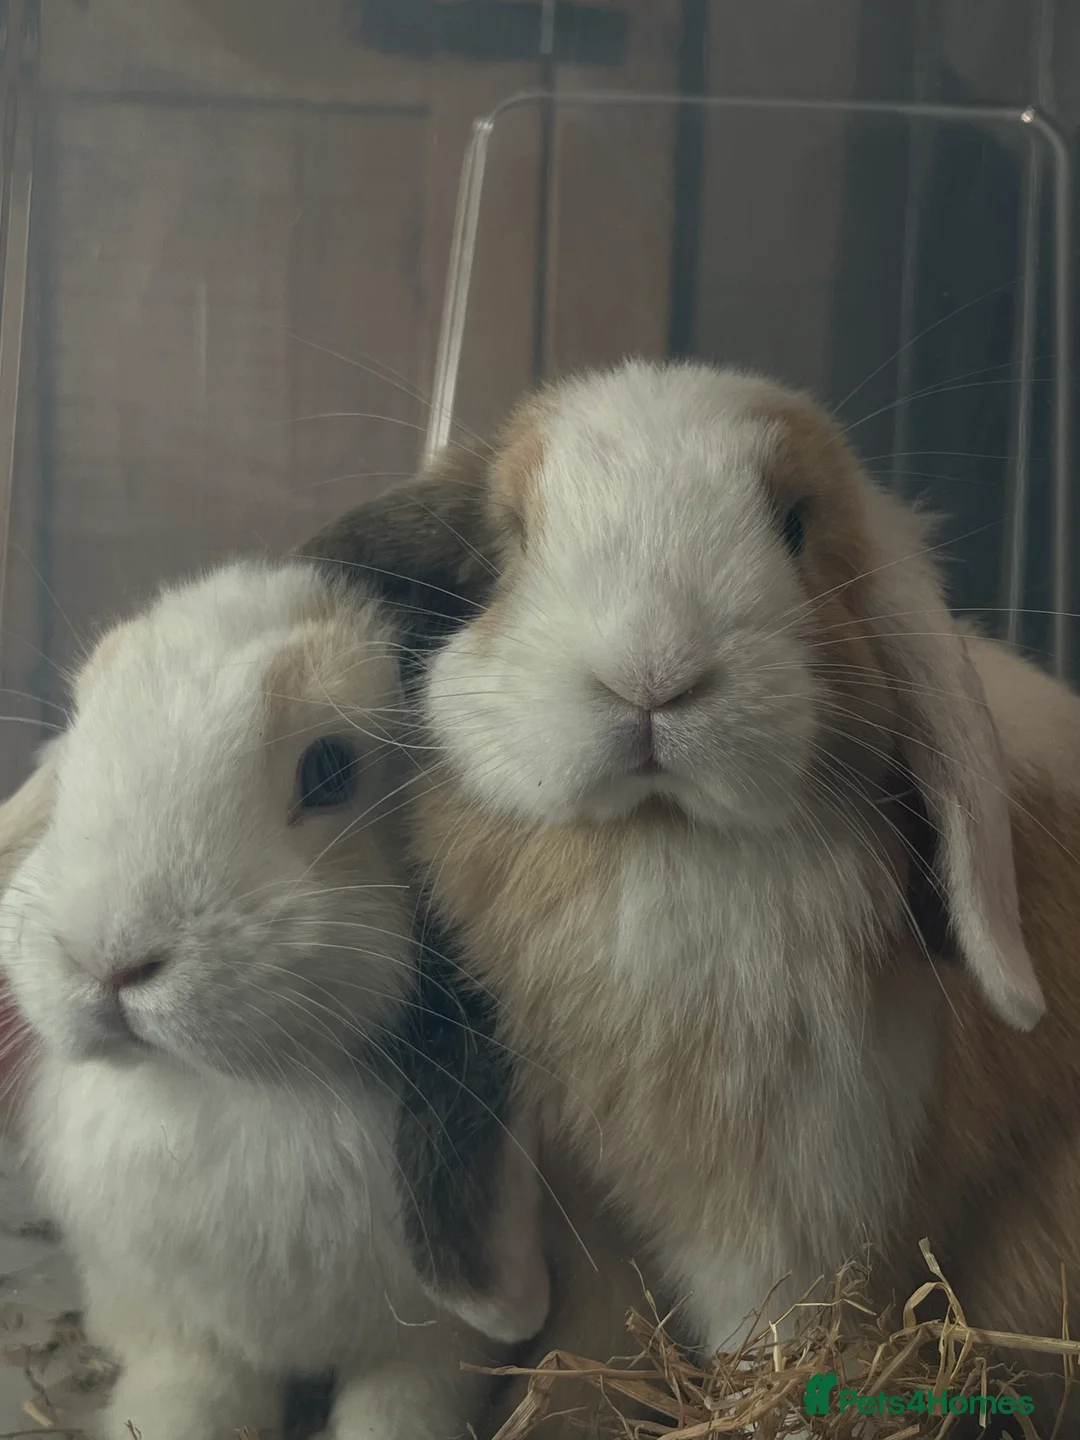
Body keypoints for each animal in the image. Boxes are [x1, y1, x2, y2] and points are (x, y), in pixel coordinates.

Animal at [0, 554, 553, 1440]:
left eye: (328, 770)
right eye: (84, 730)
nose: (106, 960)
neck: (236, 1095)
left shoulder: (428, 1349)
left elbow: (398, 1412)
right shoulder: (185, 1330)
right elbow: (188, 1399)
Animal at [310, 358, 1080, 1414]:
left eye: (794, 524)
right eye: (513, 537)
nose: (651, 673)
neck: (658, 840)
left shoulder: (792, 1222)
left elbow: (780, 1343)